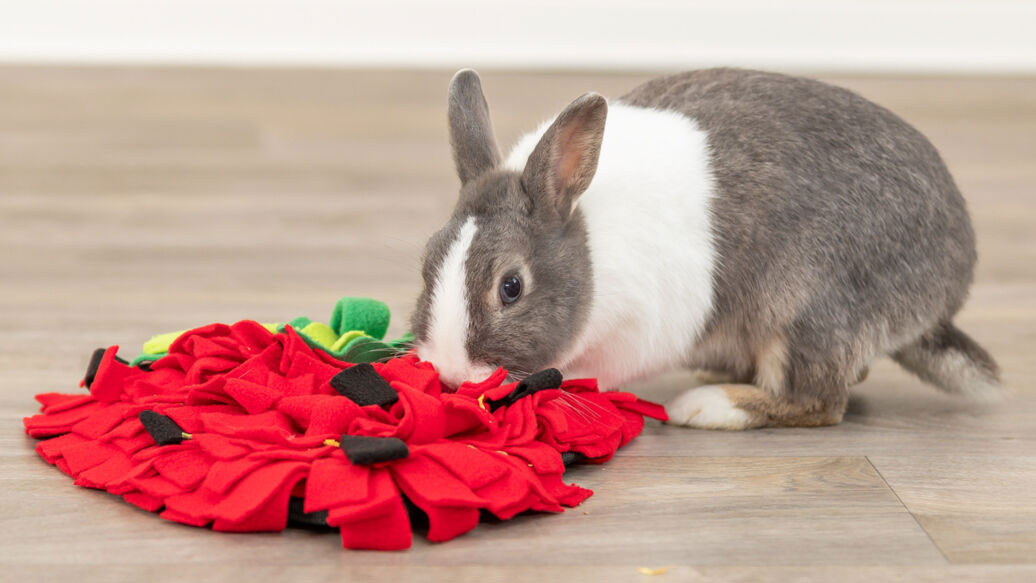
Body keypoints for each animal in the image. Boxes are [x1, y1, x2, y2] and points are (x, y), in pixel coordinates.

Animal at [408, 69, 998, 432]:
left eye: (511, 287)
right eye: (427, 262)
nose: (452, 373)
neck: (588, 248)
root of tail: (942, 296)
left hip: (806, 314)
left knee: (819, 401)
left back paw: (708, 406)